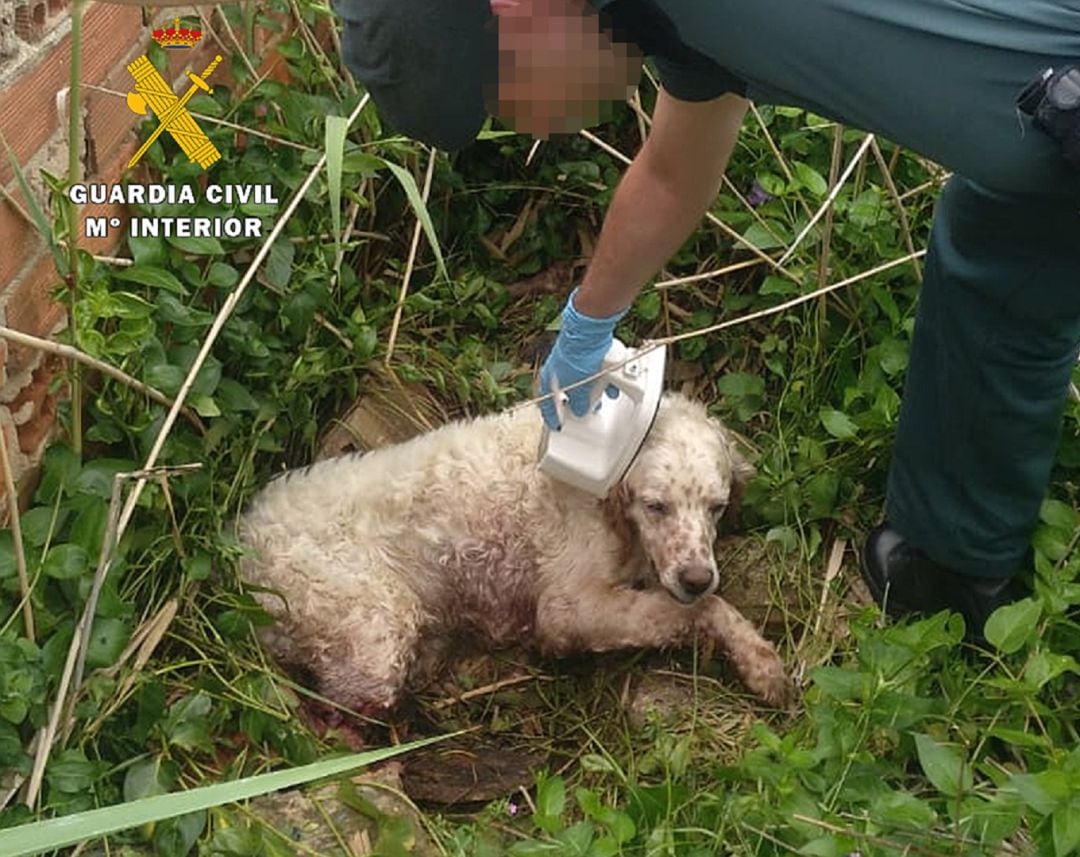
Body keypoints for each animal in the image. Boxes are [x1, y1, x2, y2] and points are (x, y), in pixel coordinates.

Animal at [238, 390, 794, 712]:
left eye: (717, 507)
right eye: (656, 506)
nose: (696, 577)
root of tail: (242, 545)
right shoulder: (565, 611)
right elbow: (703, 610)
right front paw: (760, 662)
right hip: (373, 632)